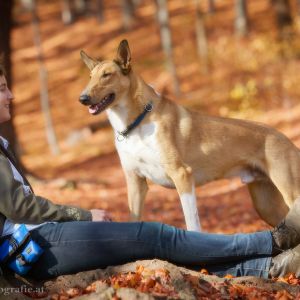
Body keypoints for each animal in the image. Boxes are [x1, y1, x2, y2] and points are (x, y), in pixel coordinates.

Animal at [79, 40, 300, 232]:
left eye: (107, 75)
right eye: (90, 77)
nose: (82, 98)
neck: (136, 124)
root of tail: (286, 138)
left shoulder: (182, 176)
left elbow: (192, 223)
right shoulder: (135, 181)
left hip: (289, 192)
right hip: (266, 204)